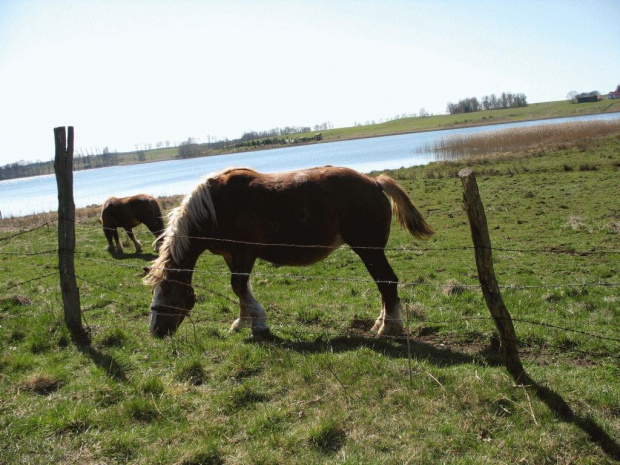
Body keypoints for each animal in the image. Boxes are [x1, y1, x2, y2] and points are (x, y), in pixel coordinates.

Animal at [143, 166, 434, 338]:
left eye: (167, 290)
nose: (155, 331)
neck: (215, 206)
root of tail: (374, 182)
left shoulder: (245, 253)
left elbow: (239, 286)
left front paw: (259, 322)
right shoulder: (231, 255)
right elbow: (241, 290)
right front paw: (242, 322)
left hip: (369, 250)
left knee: (387, 282)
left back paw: (389, 327)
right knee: (384, 286)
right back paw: (380, 323)